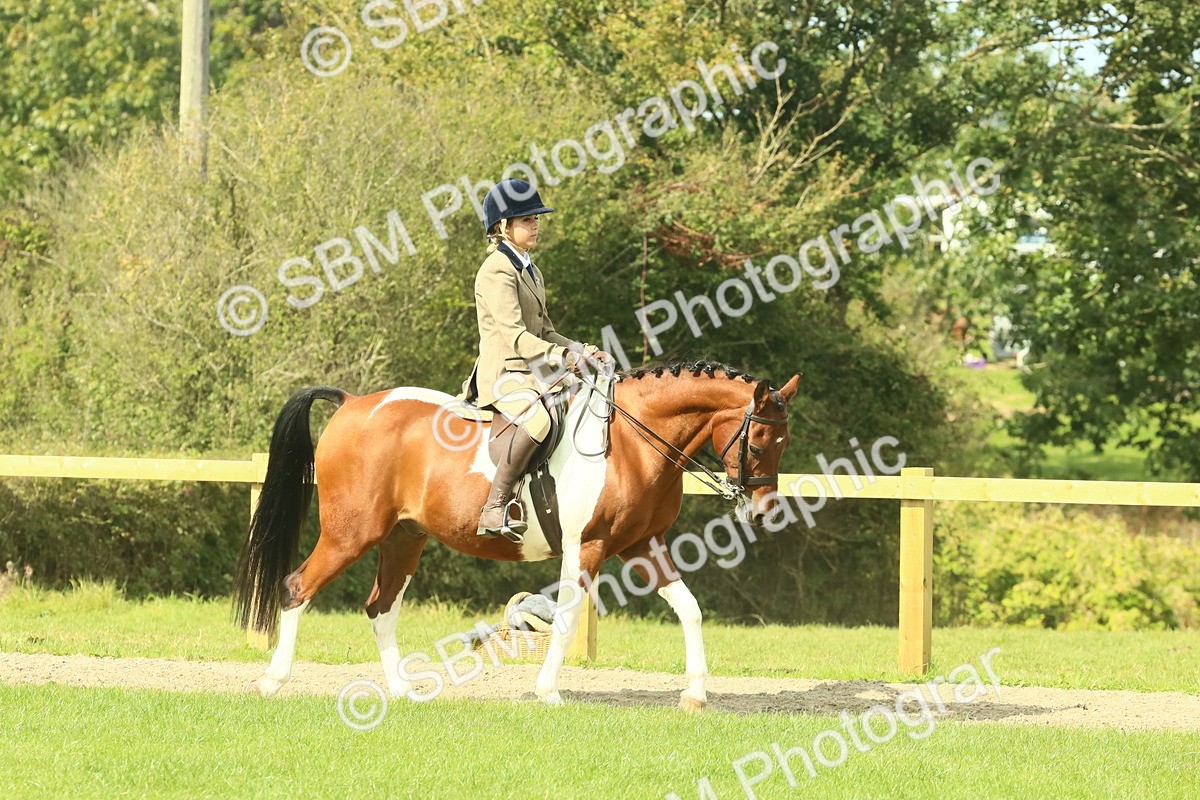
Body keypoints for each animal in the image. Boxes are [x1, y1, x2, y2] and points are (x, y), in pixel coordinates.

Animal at [234, 360, 800, 710]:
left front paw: (696, 695)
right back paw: (271, 680)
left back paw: (401, 690)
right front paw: (548, 691)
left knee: (381, 606)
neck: (632, 440)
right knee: (297, 588)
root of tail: (353, 402)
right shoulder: (586, 547)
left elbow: (689, 609)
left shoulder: (645, 545)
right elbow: (567, 619)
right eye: (759, 442)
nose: (763, 512)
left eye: (783, 443)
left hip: (403, 538)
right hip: (351, 534)